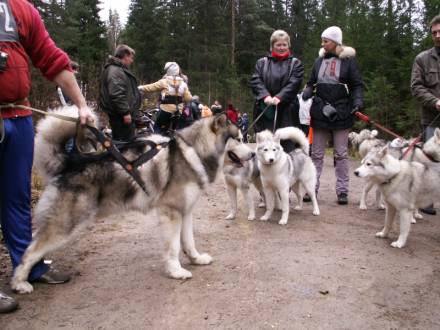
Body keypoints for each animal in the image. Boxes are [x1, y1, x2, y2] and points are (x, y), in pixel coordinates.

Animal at [11, 107, 237, 292]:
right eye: (240, 138)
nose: (249, 153)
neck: (194, 151)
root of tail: (71, 161)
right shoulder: (171, 212)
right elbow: (173, 247)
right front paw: (176, 271)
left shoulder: (186, 211)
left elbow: (189, 242)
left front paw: (196, 259)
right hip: (66, 224)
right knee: (29, 251)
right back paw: (19, 283)